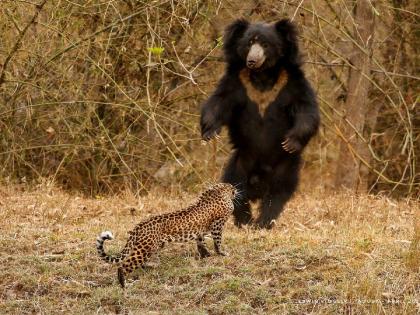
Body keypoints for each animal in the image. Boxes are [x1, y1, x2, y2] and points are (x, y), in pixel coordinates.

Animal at [96, 183, 238, 288]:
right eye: (232, 187)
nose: (236, 190)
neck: (219, 193)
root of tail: (138, 226)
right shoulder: (217, 225)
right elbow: (217, 241)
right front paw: (221, 253)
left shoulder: (201, 231)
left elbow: (201, 243)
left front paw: (205, 255)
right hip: (144, 249)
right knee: (124, 265)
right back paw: (124, 284)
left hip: (152, 246)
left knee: (141, 263)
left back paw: (151, 266)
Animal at [200, 18, 318, 228]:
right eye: (249, 44)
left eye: (265, 44)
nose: (252, 61)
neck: (263, 74)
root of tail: (259, 182)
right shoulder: (237, 80)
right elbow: (219, 101)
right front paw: (209, 132)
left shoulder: (292, 82)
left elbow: (306, 109)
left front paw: (290, 142)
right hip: (240, 163)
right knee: (236, 187)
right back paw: (245, 221)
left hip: (284, 167)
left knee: (278, 193)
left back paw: (264, 222)